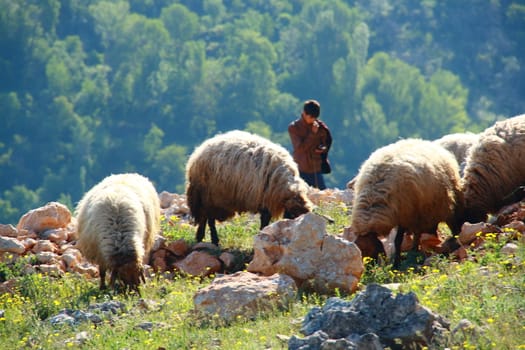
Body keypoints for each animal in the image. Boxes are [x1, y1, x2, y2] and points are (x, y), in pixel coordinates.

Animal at [186, 129, 314, 246]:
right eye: (294, 216)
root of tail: (198, 151)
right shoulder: (263, 198)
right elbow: (265, 219)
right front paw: (262, 232)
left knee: (204, 218)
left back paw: (200, 238)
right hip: (209, 197)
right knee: (209, 220)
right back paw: (213, 241)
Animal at [350, 137, 460, 268]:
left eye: (371, 251)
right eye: (360, 252)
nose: (368, 270)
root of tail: (422, 141)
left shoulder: (404, 214)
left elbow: (397, 241)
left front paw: (396, 264)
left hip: (428, 210)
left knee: (422, 232)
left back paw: (416, 250)